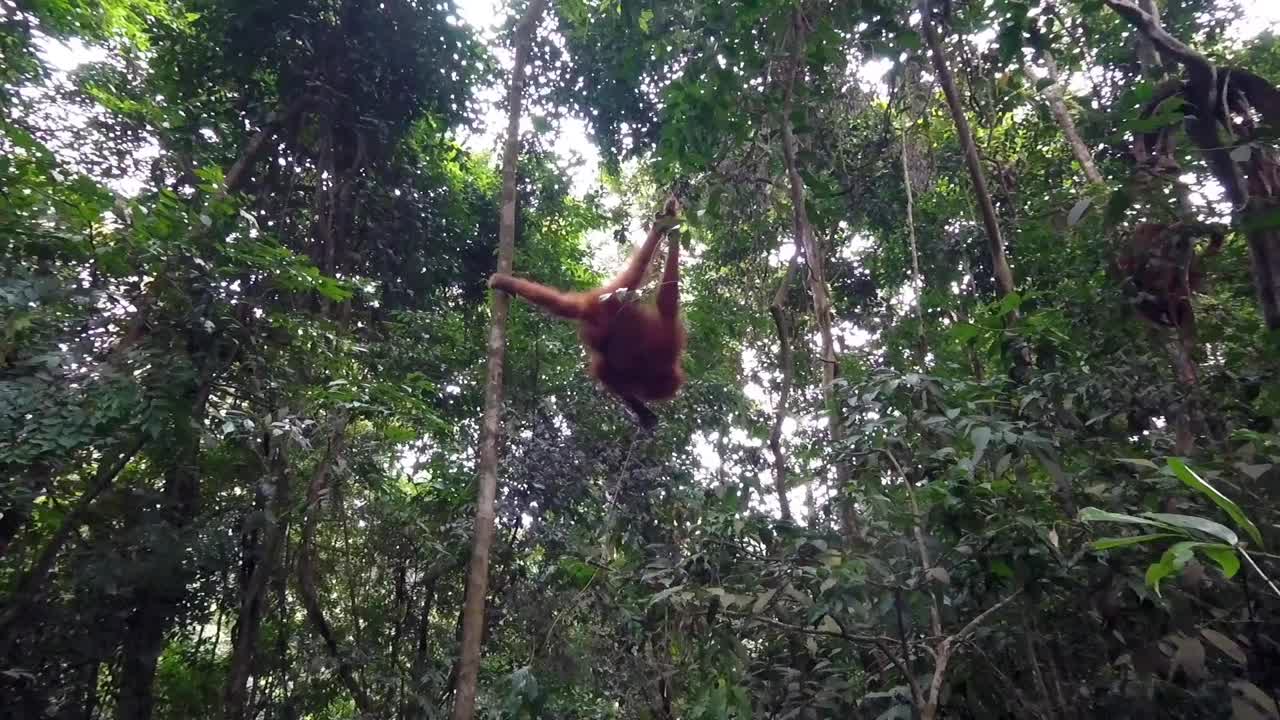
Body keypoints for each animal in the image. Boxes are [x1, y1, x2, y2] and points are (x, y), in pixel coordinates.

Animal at [488, 196, 685, 428]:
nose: (643, 394)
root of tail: (592, 305)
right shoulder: (668, 339)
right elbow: (667, 301)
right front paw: (674, 239)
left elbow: (609, 376)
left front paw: (639, 408)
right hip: (617, 298)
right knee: (639, 270)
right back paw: (662, 226)